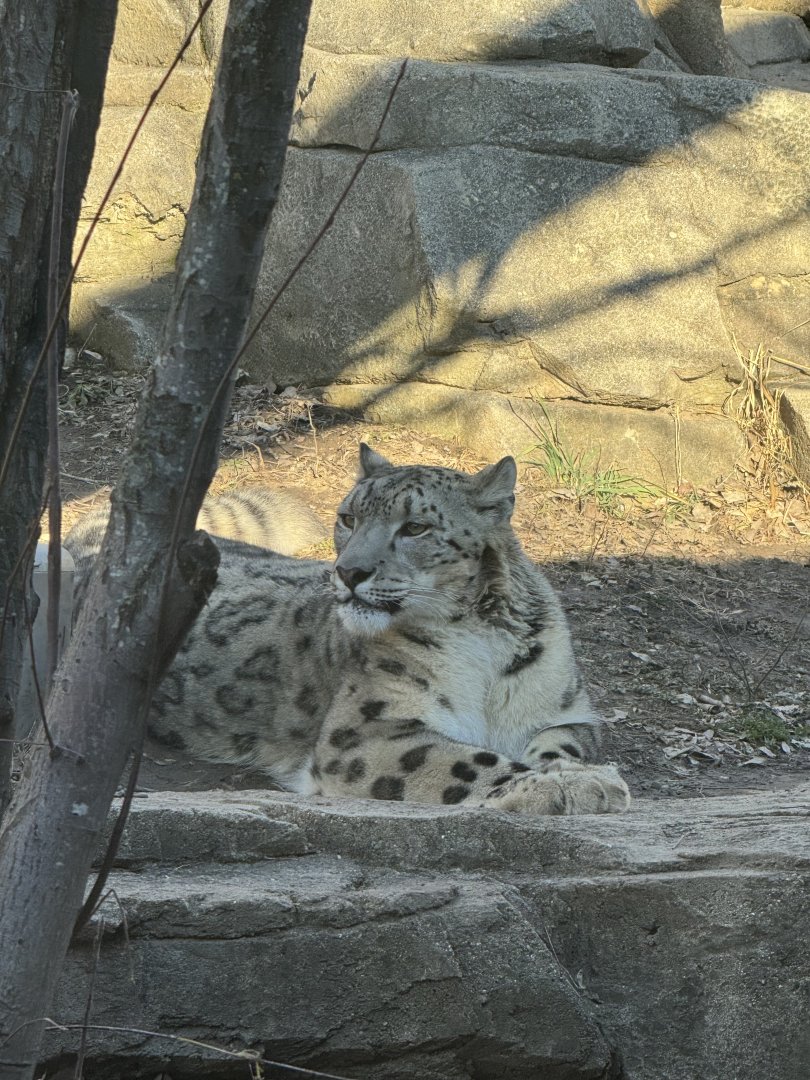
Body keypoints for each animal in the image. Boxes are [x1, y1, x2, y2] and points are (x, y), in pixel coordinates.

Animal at [66, 446, 630, 815]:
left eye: (416, 527)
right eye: (347, 518)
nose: (349, 571)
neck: (483, 647)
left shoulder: (563, 712)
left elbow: (561, 746)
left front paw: (578, 776)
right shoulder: (367, 730)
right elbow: (468, 760)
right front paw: (565, 789)